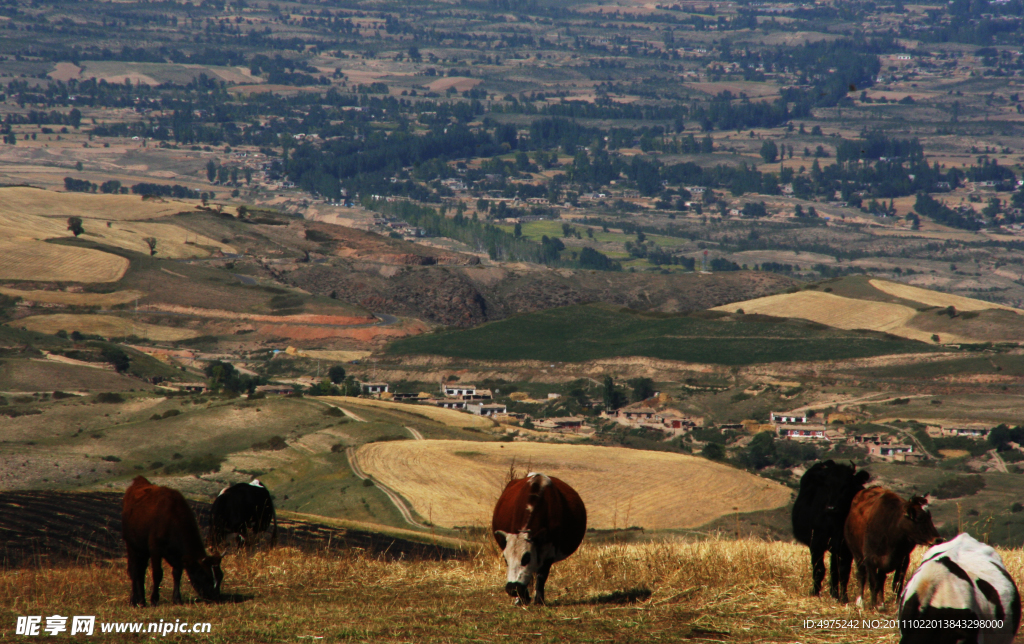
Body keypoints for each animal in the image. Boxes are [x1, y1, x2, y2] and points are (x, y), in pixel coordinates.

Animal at [121, 475, 224, 606]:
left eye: (220, 576)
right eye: (205, 576)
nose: (216, 596)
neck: (172, 517)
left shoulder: (178, 555)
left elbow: (177, 574)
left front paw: (177, 598)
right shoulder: (155, 549)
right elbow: (157, 573)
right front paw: (154, 599)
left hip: (142, 550)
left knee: (141, 570)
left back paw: (142, 600)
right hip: (131, 545)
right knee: (134, 570)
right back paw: (134, 600)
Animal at [493, 473, 589, 602]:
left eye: (526, 558)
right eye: (505, 558)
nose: (512, 589)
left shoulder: (549, 551)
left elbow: (541, 576)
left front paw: (539, 600)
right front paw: (521, 599)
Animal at [790, 458, 872, 602]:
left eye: (846, 486)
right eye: (827, 486)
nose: (831, 508)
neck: (835, 522)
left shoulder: (845, 548)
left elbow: (844, 572)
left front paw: (844, 598)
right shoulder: (816, 543)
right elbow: (819, 569)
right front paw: (815, 593)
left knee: (835, 570)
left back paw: (834, 594)